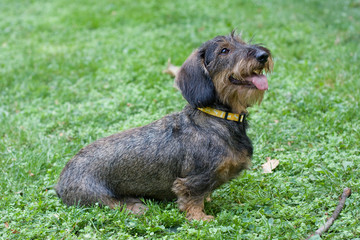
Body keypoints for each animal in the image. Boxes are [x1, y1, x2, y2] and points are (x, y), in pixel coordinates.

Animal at [54, 32, 272, 221]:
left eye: (242, 42)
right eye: (224, 51)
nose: (263, 55)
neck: (217, 117)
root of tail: (61, 180)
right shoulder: (192, 180)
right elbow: (192, 199)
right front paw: (201, 218)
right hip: (98, 196)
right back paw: (135, 207)